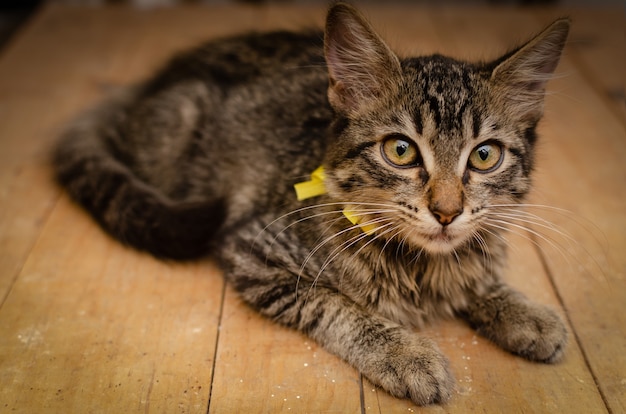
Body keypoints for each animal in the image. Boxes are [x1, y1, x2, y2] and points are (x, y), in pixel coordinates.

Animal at [54, 2, 572, 404]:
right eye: (400, 151)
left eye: (484, 156)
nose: (447, 211)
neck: (421, 266)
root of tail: (148, 85)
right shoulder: (255, 252)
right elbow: (341, 308)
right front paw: (406, 354)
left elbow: (478, 275)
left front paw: (522, 310)